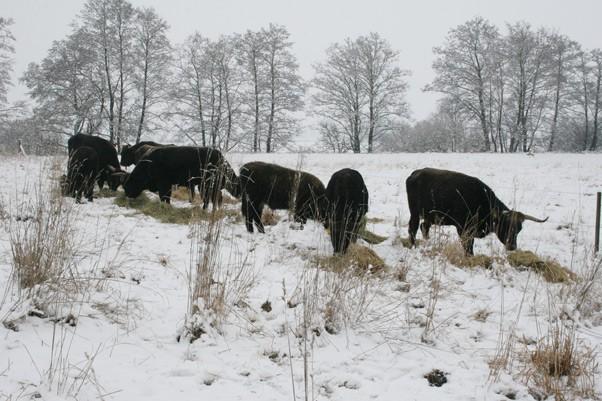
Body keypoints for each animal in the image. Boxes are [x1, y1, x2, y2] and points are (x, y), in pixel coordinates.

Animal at [404, 167, 544, 255]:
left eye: (519, 229)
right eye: (504, 225)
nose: (512, 246)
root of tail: (415, 173)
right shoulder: (463, 229)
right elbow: (468, 248)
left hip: (429, 216)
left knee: (424, 227)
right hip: (415, 213)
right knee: (413, 228)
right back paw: (413, 245)